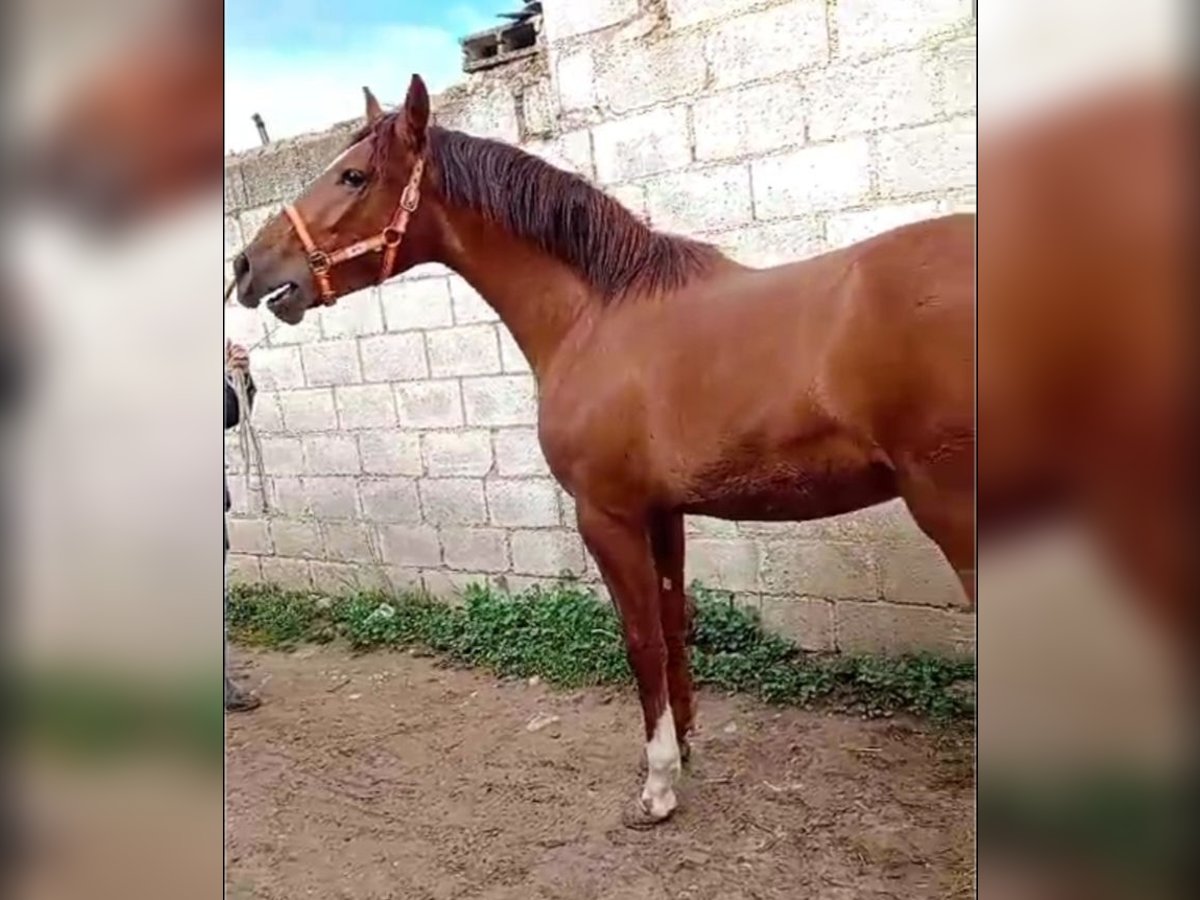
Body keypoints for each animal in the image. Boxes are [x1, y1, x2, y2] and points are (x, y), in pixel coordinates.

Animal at [234, 75, 974, 825]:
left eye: (353, 176)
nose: (247, 265)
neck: (596, 315)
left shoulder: (607, 515)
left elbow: (640, 639)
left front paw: (658, 784)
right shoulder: (663, 512)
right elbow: (674, 627)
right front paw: (687, 746)